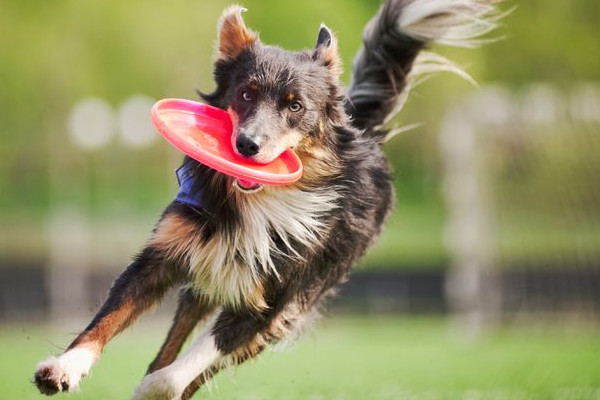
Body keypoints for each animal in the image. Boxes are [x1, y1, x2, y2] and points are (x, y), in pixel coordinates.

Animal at [32, 1, 502, 398]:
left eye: (295, 106)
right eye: (245, 94)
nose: (246, 146)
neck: (256, 203)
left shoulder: (274, 300)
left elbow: (201, 354)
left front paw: (157, 387)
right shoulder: (164, 255)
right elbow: (109, 315)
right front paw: (65, 366)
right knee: (178, 332)